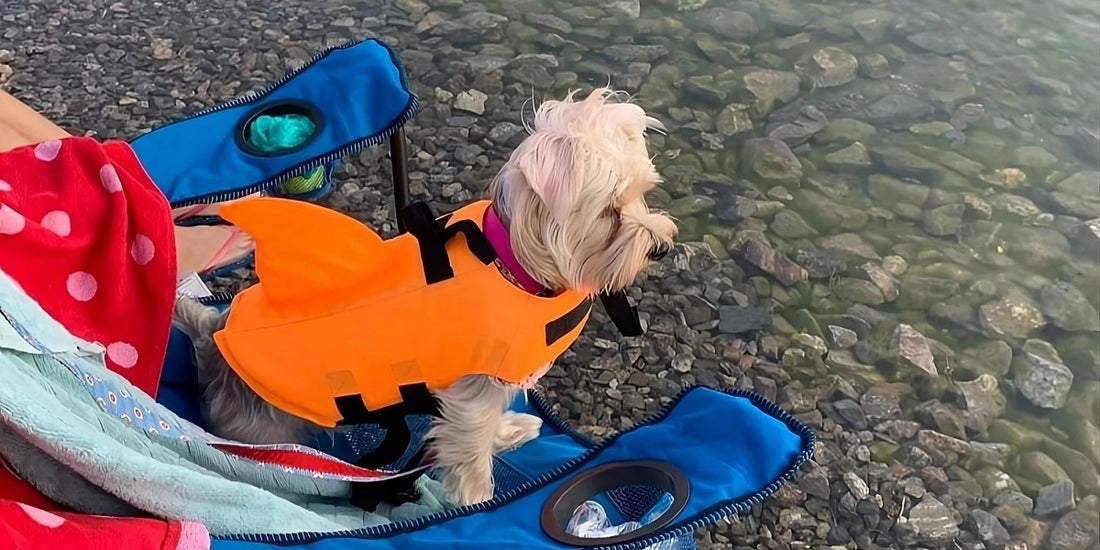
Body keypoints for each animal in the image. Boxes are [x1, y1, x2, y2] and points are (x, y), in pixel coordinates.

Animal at [173, 88, 668, 503]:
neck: (512, 261)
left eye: (643, 194)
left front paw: (508, 432)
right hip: (262, 433)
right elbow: (471, 452)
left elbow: (485, 427)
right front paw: (476, 503)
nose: (661, 247)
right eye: (608, 213)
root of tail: (212, 333)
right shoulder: (473, 394)